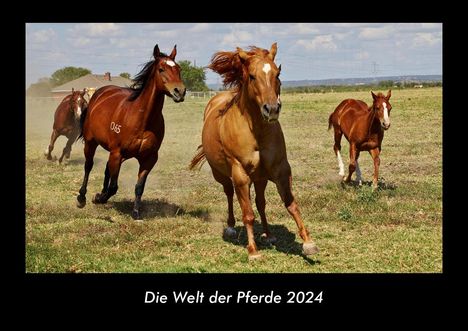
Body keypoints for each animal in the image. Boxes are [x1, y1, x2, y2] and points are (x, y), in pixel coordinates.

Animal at [76, 44, 186, 220]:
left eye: (179, 68)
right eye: (161, 69)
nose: (180, 92)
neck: (142, 119)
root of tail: (100, 93)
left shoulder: (148, 158)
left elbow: (139, 186)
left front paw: (136, 212)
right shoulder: (117, 153)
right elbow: (114, 186)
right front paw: (98, 198)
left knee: (107, 169)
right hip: (91, 143)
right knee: (88, 166)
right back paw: (82, 197)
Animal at [189, 42, 318, 260]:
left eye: (277, 73)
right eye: (251, 76)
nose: (272, 109)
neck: (256, 131)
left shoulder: (280, 170)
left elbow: (291, 204)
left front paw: (308, 242)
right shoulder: (240, 174)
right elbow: (247, 214)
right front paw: (253, 250)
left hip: (259, 178)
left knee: (260, 202)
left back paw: (268, 234)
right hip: (223, 175)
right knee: (230, 194)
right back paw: (231, 227)